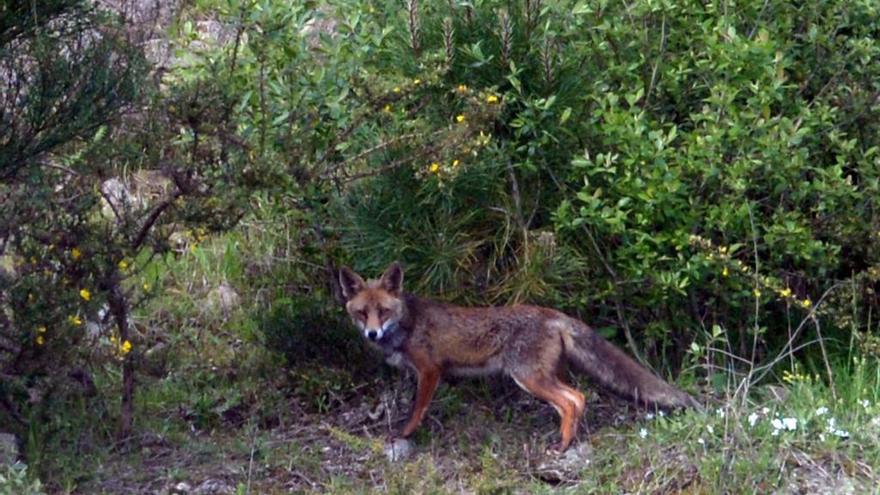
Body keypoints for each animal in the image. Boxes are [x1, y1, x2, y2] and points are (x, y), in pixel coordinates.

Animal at [338, 264, 700, 454]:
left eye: (383, 311)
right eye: (362, 313)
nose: (372, 334)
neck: (408, 323)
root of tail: (551, 313)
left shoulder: (429, 370)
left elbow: (417, 410)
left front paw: (404, 434)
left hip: (528, 377)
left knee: (574, 399)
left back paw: (563, 445)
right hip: (546, 375)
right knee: (575, 400)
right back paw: (567, 440)